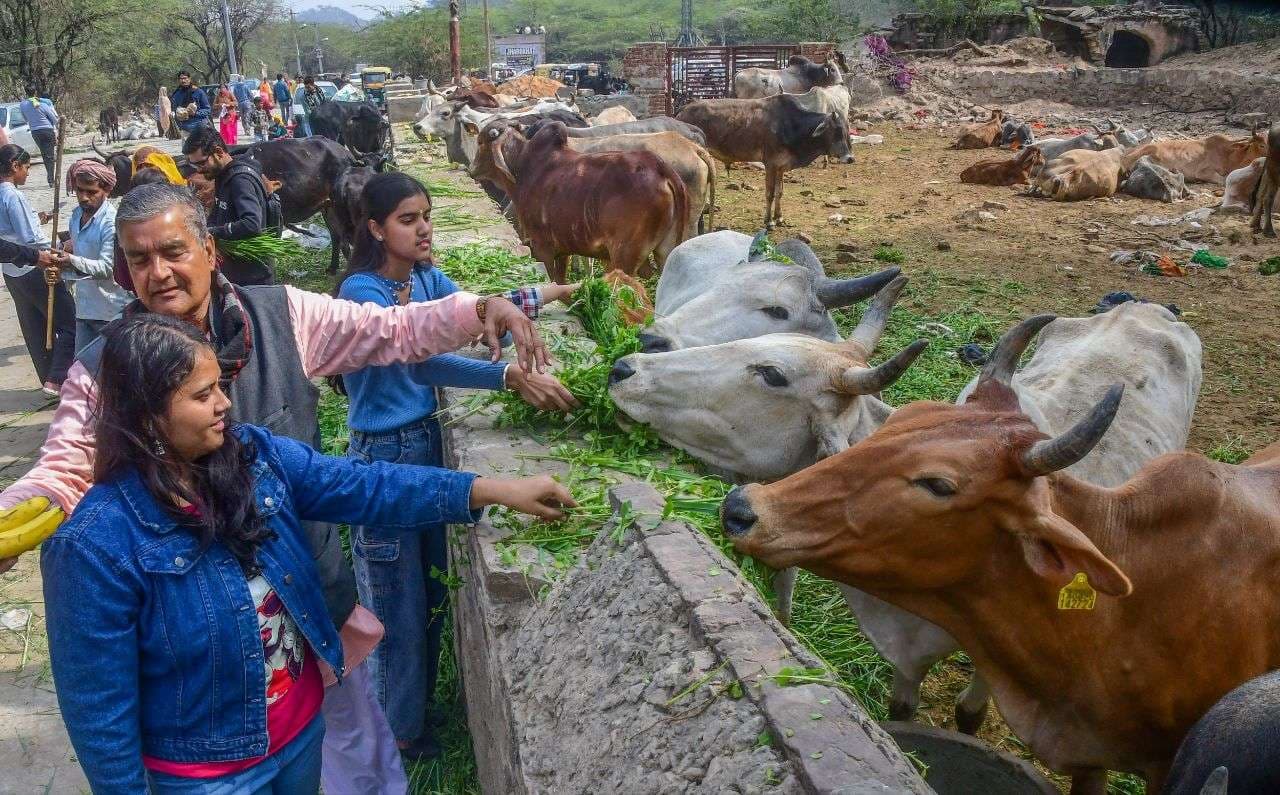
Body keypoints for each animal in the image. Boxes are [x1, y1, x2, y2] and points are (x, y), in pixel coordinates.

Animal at [468, 122, 691, 284]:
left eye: (480, 142)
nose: (471, 170)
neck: (524, 168)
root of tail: (662, 169)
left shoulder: (542, 247)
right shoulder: (562, 250)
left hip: (625, 255)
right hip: (666, 251)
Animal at [680, 94, 849, 229]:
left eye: (846, 130)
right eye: (837, 131)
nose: (850, 157)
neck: (791, 125)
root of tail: (683, 110)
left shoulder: (780, 167)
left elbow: (780, 192)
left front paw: (779, 218)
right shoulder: (770, 165)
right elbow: (770, 193)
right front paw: (769, 222)